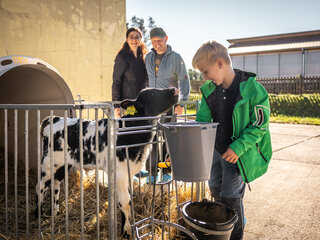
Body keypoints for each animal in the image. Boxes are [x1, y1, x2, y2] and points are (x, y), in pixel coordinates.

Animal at [37, 87, 180, 236]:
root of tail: (53, 119)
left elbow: (128, 200)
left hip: (63, 164)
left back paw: (55, 211)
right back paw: (39, 215)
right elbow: (125, 202)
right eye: (151, 94)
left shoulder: (128, 172)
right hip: (48, 163)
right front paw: (126, 232)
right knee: (40, 187)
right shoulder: (120, 173)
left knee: (55, 184)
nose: (174, 90)